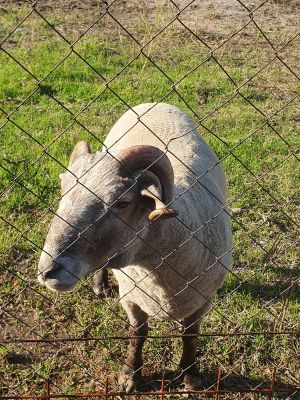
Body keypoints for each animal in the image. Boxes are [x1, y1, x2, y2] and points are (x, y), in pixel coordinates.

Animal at [37, 103, 233, 394]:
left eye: (121, 202)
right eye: (64, 193)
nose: (47, 271)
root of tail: (153, 103)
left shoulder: (204, 300)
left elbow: (190, 335)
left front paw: (189, 374)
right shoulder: (131, 297)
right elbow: (137, 334)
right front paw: (130, 375)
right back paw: (99, 285)